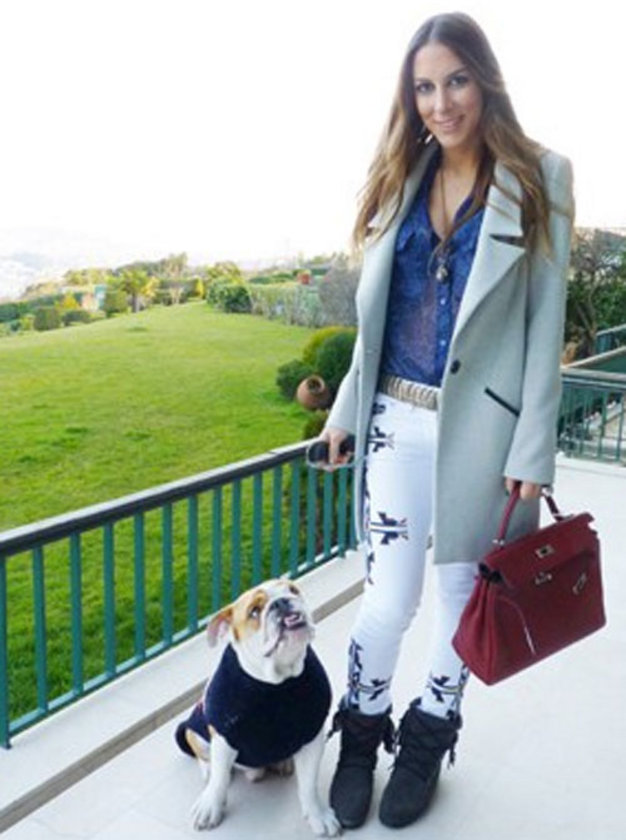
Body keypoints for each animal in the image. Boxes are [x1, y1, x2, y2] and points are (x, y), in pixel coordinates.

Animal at [175, 578, 340, 836]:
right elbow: (220, 779)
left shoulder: (312, 738)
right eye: (254, 611)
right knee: (208, 760)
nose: (282, 602)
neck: (277, 682)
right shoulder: (224, 738)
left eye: (293, 590)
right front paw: (210, 806)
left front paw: (317, 815)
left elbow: (309, 785)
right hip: (195, 730)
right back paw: (208, 770)